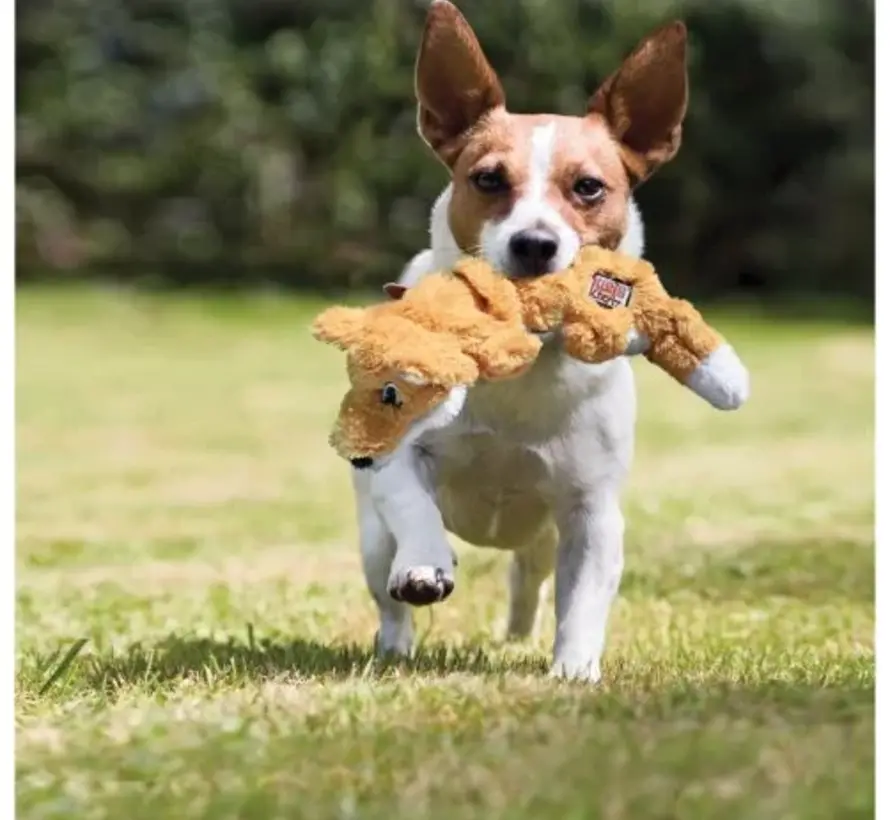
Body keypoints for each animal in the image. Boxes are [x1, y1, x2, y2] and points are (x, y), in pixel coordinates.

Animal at [348, 1, 688, 680]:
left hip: (543, 538)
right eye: (487, 179)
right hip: (371, 537)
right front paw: (425, 565)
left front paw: (574, 669)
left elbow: (583, 598)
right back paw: (397, 639)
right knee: (388, 589)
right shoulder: (401, 462)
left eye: (588, 187)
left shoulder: (590, 511)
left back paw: (520, 632)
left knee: (529, 579)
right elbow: (414, 505)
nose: (534, 244)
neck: (522, 355)